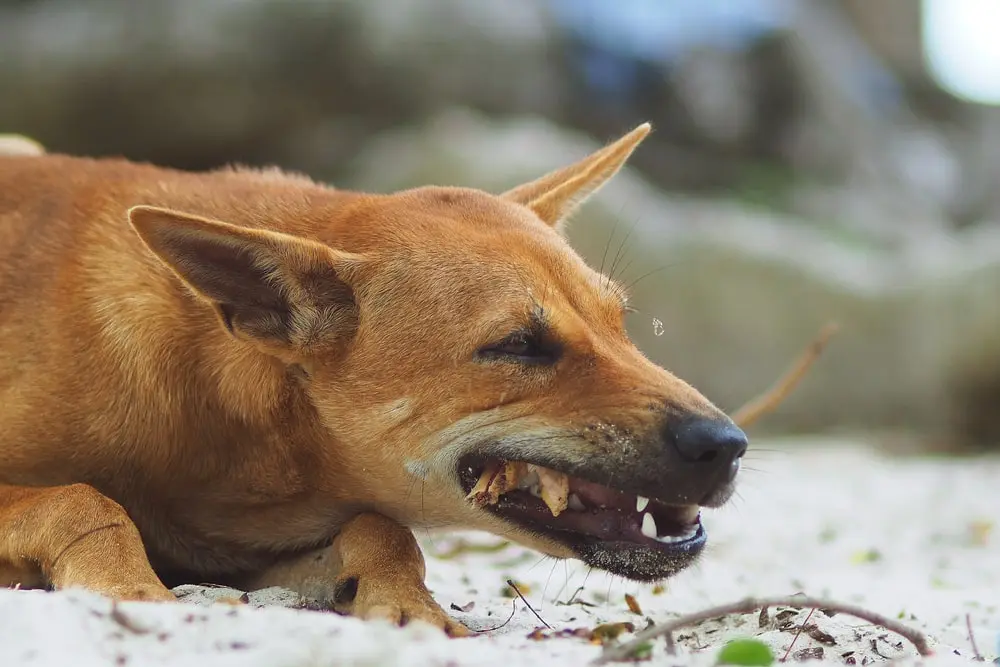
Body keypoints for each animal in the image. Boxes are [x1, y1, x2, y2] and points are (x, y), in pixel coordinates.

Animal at [0, 124, 748, 636]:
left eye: (619, 322)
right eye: (518, 345)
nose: (727, 445)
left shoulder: (254, 546)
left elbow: (383, 529)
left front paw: (404, 599)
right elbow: (80, 500)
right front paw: (126, 584)